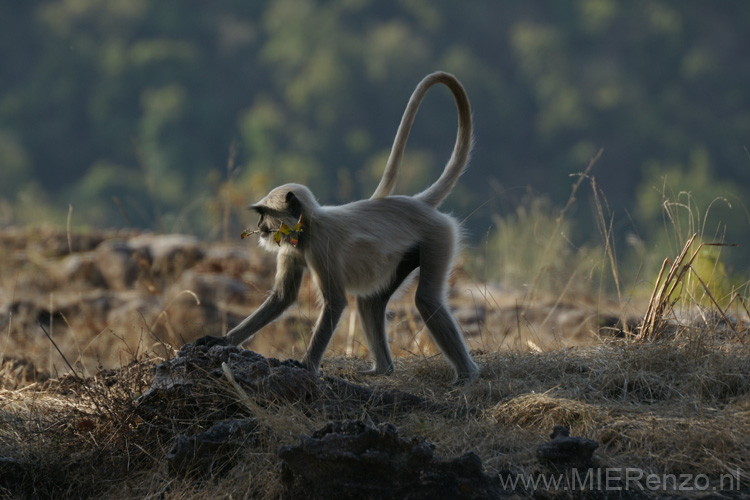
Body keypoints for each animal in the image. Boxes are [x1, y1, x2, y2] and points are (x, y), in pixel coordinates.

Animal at [220, 70, 478, 382]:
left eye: (263, 214)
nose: (259, 225)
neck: (309, 228)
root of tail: (418, 204)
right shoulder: (291, 248)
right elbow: (282, 298)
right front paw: (223, 341)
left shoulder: (321, 248)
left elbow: (335, 303)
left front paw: (306, 367)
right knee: (371, 303)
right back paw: (382, 368)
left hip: (438, 237)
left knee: (426, 299)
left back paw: (468, 374)